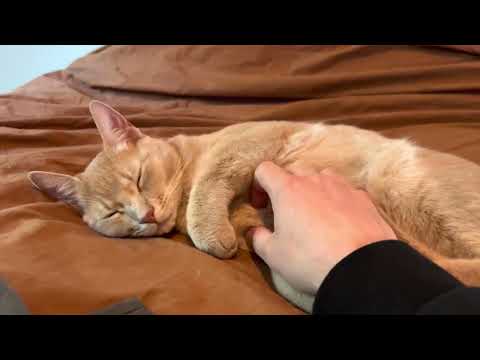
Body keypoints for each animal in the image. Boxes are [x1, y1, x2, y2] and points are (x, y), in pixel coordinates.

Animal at [27, 100, 480, 312]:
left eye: (138, 178)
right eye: (113, 213)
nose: (146, 216)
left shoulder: (249, 141)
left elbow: (209, 182)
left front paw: (210, 233)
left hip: (407, 184)